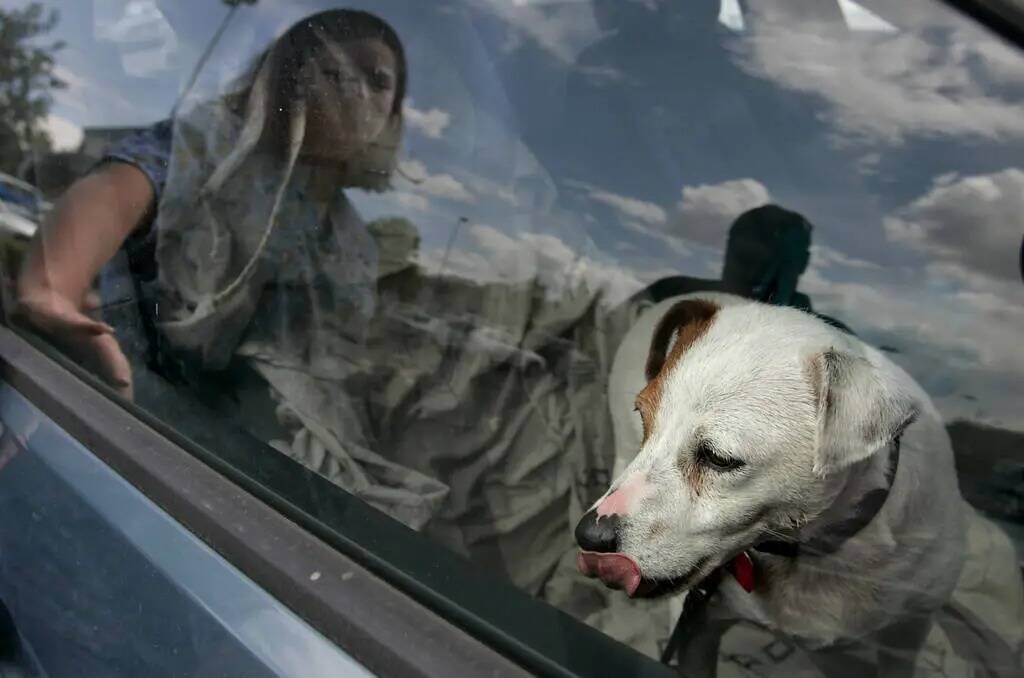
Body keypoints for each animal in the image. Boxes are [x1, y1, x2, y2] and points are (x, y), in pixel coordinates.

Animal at [577, 294, 1015, 678]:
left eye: (719, 458)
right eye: (644, 419)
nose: (588, 535)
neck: (817, 551)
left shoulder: (908, 632)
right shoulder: (698, 630)